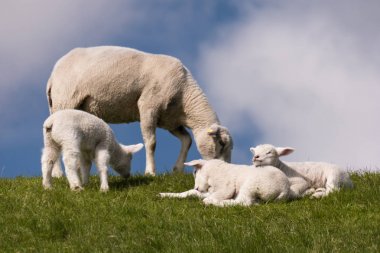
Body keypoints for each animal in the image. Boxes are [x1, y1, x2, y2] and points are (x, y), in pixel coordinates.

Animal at [46, 45, 233, 176]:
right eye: (222, 143)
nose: (225, 169)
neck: (185, 97)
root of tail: (53, 75)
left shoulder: (169, 121)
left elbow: (187, 140)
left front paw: (177, 168)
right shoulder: (148, 106)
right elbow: (151, 142)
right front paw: (150, 171)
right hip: (65, 100)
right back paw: (58, 174)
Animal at [159, 159, 290, 207]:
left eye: (195, 172)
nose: (196, 187)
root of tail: (285, 189)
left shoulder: (226, 187)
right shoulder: (211, 190)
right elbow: (189, 193)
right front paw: (165, 194)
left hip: (252, 184)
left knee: (243, 202)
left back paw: (216, 203)